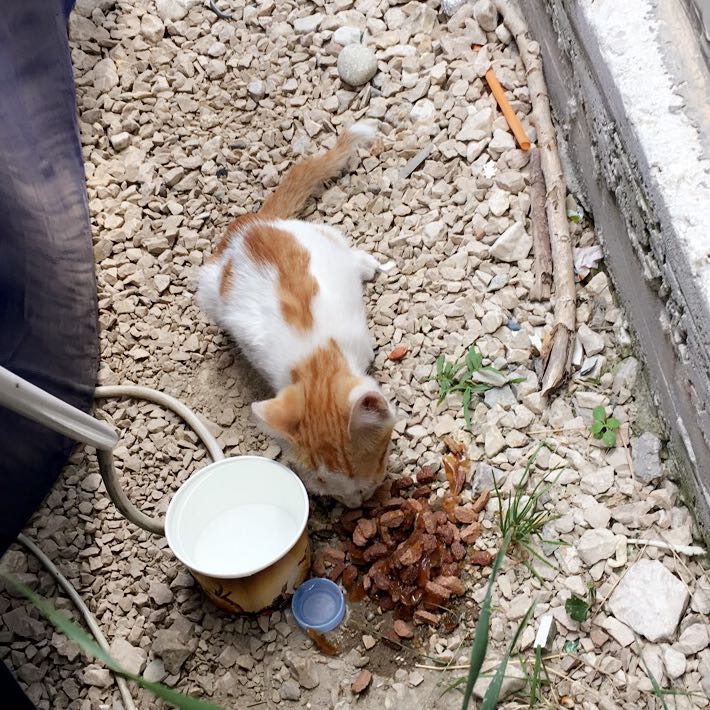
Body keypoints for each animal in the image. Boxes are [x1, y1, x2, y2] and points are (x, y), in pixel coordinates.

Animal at [199, 124, 394, 512]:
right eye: (322, 486)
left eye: (375, 462)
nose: (357, 503)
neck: (316, 362)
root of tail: (248, 225)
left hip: (320, 234)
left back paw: (363, 264)